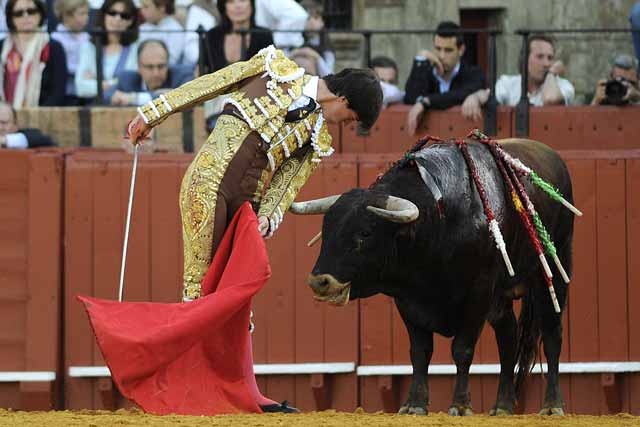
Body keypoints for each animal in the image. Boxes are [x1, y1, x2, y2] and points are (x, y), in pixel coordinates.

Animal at [290, 139, 576, 416]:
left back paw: (552, 405)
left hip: (552, 272)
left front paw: (460, 405)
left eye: (365, 233)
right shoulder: (408, 300)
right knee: (508, 338)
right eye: (326, 229)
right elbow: (420, 352)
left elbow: (462, 349)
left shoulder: (478, 293)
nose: (320, 281)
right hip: (500, 300)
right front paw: (414, 404)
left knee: (552, 336)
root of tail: (553, 157)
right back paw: (502, 406)